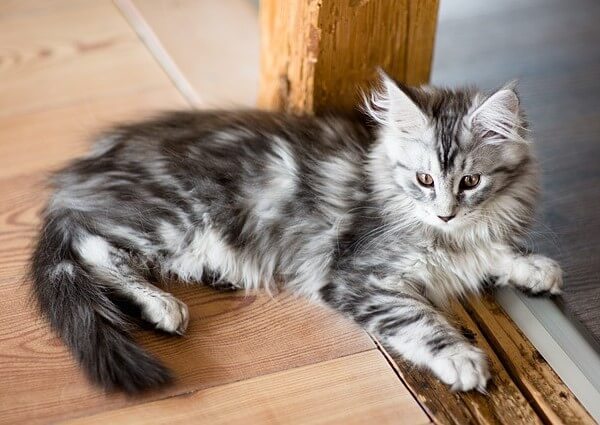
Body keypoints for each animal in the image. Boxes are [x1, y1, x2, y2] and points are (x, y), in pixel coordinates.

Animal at [29, 73, 564, 394]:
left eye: (469, 181)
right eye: (424, 179)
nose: (446, 214)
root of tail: (79, 176)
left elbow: (492, 250)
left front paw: (532, 267)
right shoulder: (358, 276)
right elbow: (420, 320)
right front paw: (461, 357)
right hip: (177, 216)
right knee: (93, 247)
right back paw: (162, 305)